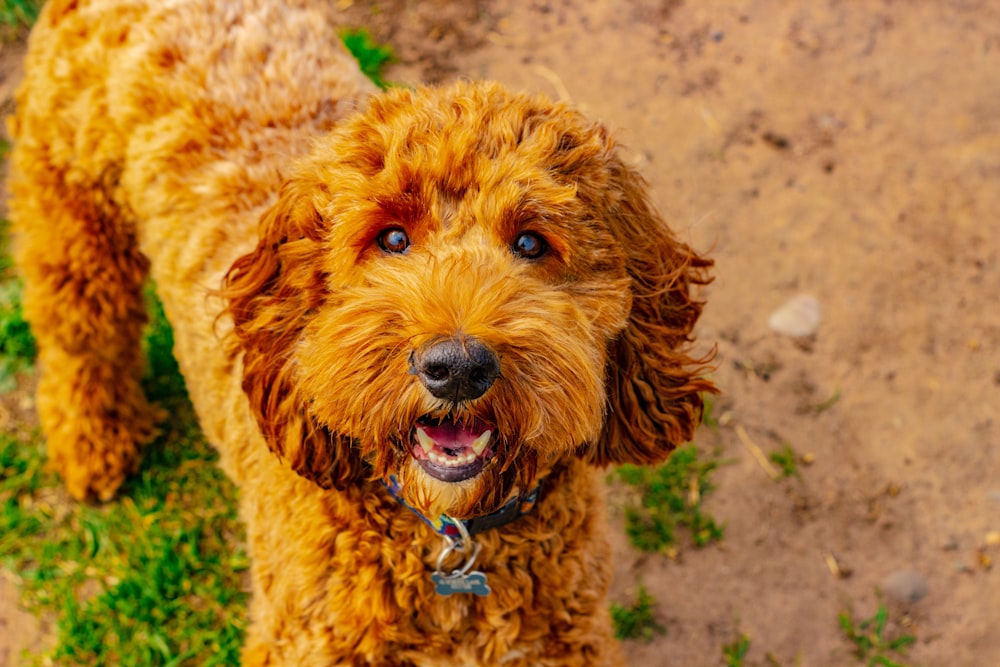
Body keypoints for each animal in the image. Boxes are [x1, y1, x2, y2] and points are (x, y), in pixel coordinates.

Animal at [7, 0, 712, 664]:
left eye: (532, 243)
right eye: (392, 239)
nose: (457, 367)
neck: (451, 534)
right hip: (72, 204)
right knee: (79, 329)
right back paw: (93, 443)